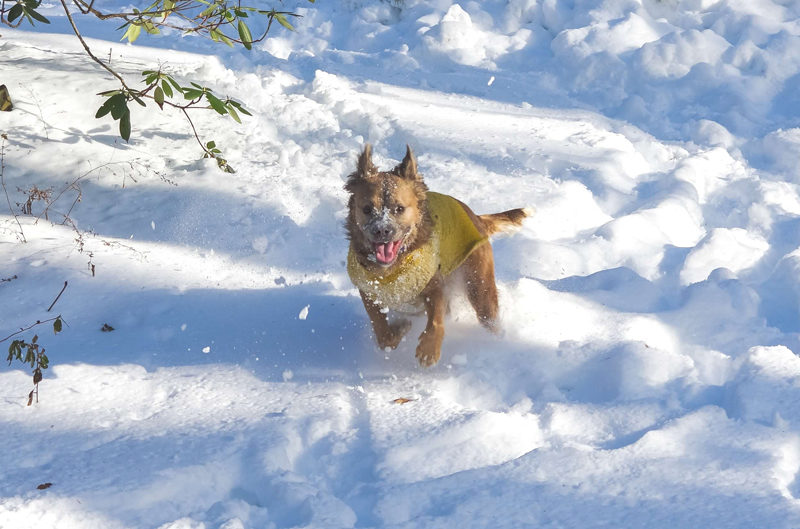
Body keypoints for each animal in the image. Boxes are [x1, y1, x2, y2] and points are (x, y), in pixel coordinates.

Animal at [344, 144, 532, 368]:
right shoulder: (368, 291)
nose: (382, 230)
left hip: (479, 285)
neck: (393, 267)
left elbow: (436, 320)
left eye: (399, 208)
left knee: (488, 317)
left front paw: (428, 350)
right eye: (367, 209)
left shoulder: (433, 286)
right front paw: (399, 329)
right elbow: (382, 332)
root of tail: (476, 218)